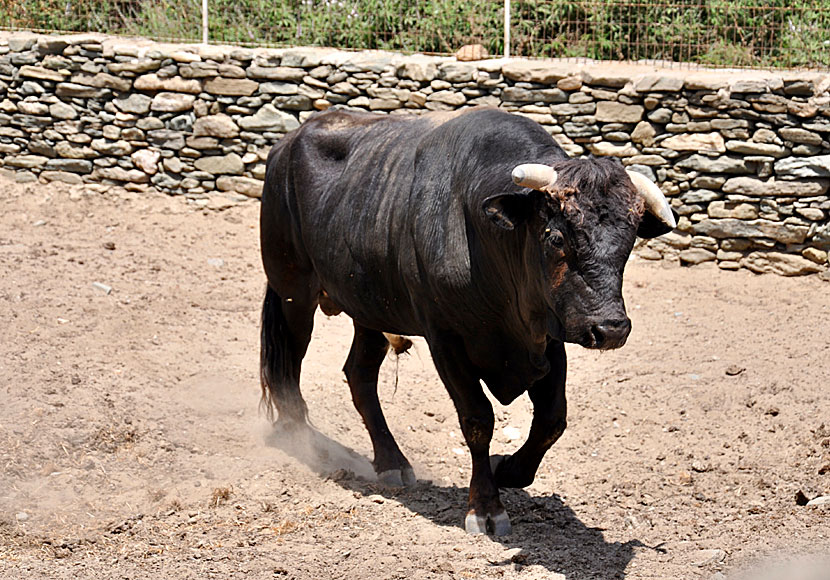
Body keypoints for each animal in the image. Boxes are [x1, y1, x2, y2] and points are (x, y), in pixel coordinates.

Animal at [260, 105, 676, 536]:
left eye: (629, 242)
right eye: (556, 238)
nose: (610, 329)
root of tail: (286, 144)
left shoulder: (548, 335)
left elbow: (551, 419)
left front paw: (507, 468)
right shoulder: (445, 339)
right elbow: (477, 418)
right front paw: (485, 506)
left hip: (368, 307)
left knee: (359, 375)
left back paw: (391, 462)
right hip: (293, 291)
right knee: (288, 368)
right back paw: (306, 443)